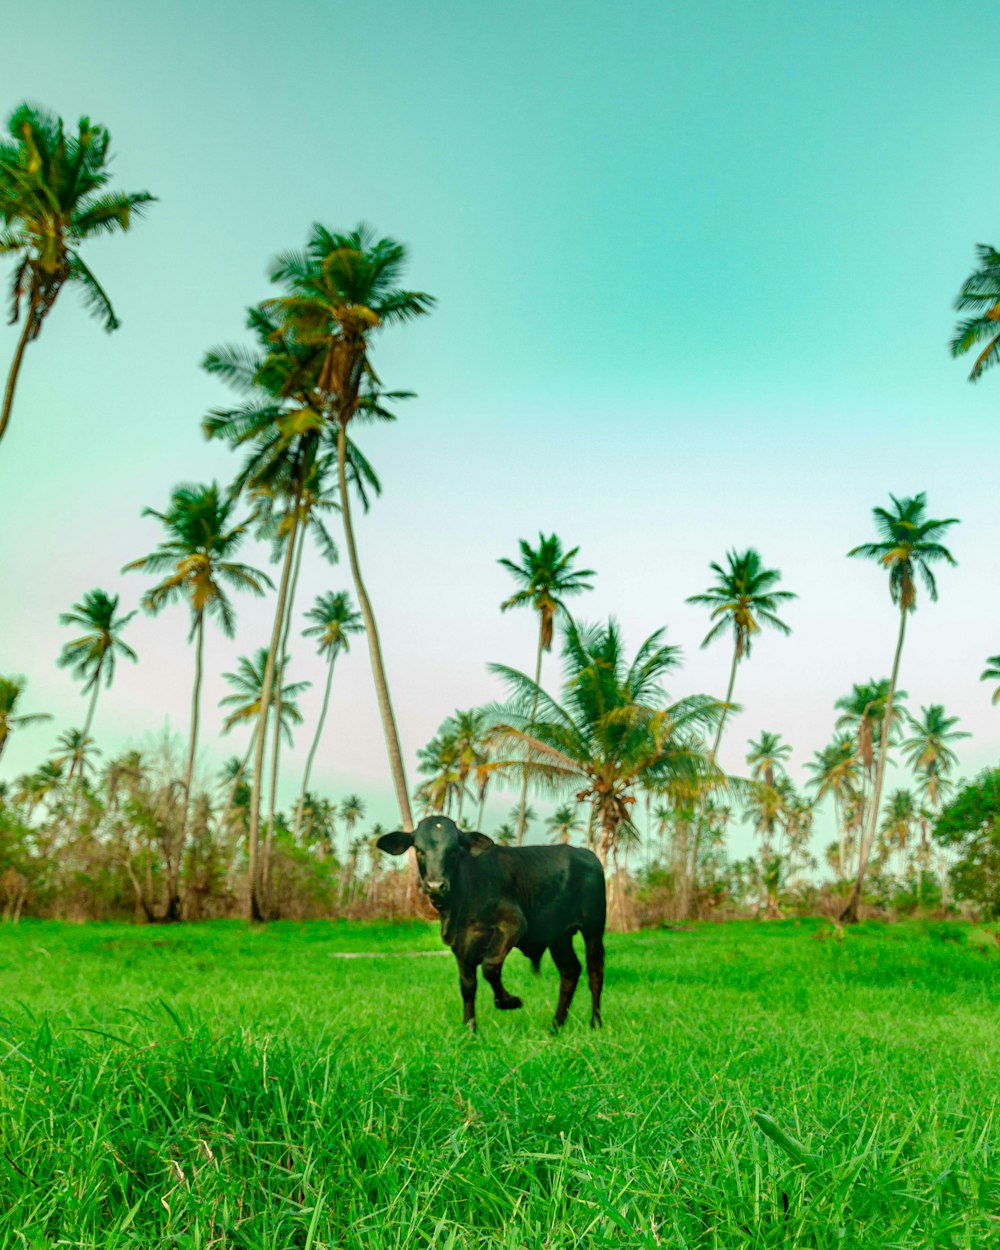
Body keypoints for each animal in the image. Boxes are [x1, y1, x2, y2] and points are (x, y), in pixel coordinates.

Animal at [380, 815, 605, 1030]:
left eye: (454, 850)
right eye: (419, 850)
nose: (436, 885)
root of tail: (586, 854)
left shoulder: (513, 925)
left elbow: (490, 966)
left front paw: (509, 1001)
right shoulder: (460, 944)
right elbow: (468, 986)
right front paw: (469, 1028)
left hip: (593, 929)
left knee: (595, 972)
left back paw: (595, 1023)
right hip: (559, 936)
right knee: (570, 971)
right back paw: (556, 1026)